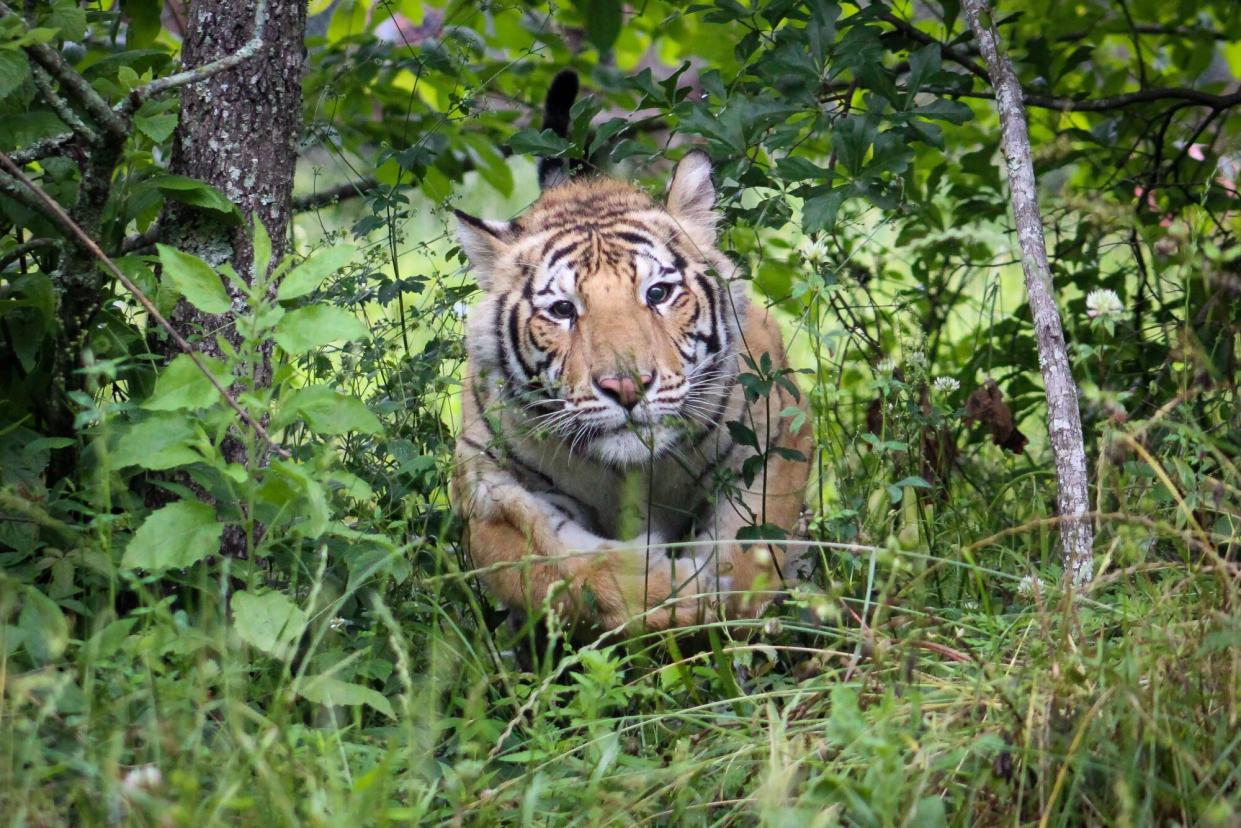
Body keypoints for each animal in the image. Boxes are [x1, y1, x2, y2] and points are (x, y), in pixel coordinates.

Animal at [451, 74, 809, 640]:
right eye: (562, 310)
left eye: (658, 293)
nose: (626, 387)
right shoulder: (490, 490)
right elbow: (564, 569)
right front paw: (676, 595)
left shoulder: (771, 441)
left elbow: (752, 547)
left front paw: (724, 600)